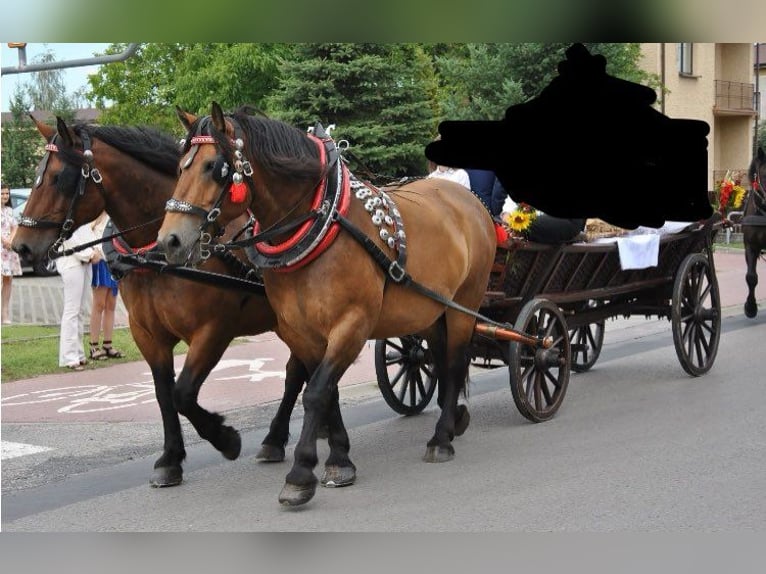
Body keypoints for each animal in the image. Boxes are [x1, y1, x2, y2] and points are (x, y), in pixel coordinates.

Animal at [12, 115, 312, 488]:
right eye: (36, 178)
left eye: (58, 178)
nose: (20, 247)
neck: (158, 257)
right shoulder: (147, 334)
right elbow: (164, 395)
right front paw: (170, 459)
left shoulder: (213, 330)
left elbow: (183, 393)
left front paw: (225, 438)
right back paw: (278, 438)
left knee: (297, 371)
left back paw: (278, 436)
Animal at [158, 104, 498, 508]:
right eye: (181, 167)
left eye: (214, 167)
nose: (170, 241)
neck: (320, 222)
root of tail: (467, 200)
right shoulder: (299, 330)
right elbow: (326, 390)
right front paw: (339, 459)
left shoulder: (352, 322)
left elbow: (316, 390)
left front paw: (301, 473)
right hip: (429, 308)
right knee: (441, 358)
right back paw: (453, 419)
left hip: (464, 302)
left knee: (456, 359)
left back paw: (442, 436)